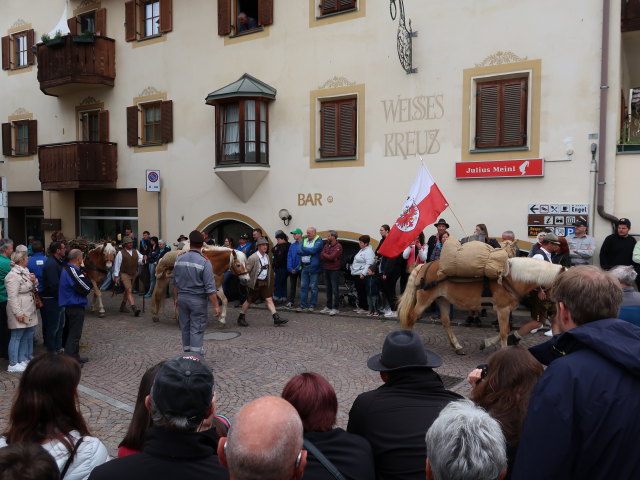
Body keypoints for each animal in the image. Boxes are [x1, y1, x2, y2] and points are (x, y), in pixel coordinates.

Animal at [400, 256, 564, 354]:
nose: (554, 311)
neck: (512, 277)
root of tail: (423, 266)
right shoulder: (503, 309)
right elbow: (504, 332)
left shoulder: (505, 310)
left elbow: (507, 330)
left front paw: (487, 343)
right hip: (424, 300)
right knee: (411, 317)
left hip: (443, 300)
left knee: (446, 322)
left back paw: (457, 346)